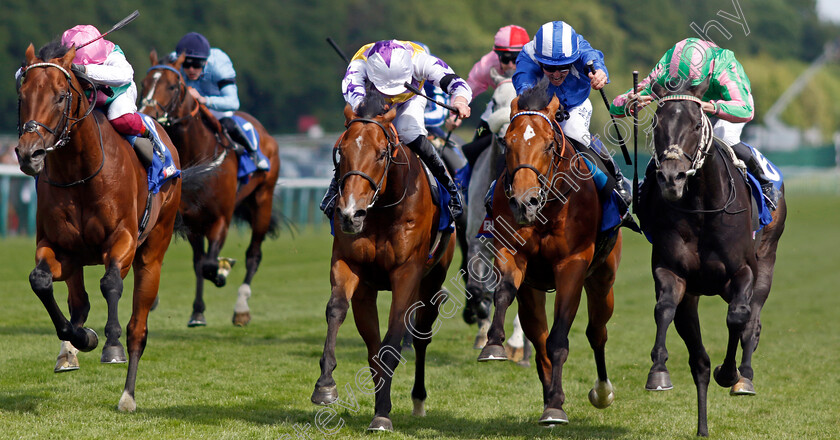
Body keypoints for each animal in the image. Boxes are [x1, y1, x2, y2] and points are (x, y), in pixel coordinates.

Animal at [13, 43, 184, 410]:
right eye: (22, 94)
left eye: (61, 96)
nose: (29, 153)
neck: (79, 174)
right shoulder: (58, 248)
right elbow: (40, 281)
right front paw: (82, 338)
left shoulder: (123, 241)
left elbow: (110, 283)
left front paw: (111, 345)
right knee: (79, 302)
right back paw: (69, 351)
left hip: (153, 252)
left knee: (138, 328)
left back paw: (127, 395)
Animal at [139, 50, 280, 326]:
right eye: (144, 82)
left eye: (172, 86)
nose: (146, 112)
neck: (201, 155)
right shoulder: (192, 220)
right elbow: (199, 263)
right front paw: (197, 311)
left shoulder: (221, 219)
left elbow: (209, 264)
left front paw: (222, 272)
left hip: (263, 200)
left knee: (253, 255)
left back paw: (241, 308)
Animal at [310, 90, 456, 434]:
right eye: (340, 153)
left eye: (380, 154)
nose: (350, 214)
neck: (383, 209)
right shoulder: (352, 268)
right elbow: (340, 313)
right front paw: (325, 386)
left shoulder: (407, 274)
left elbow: (392, 340)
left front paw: (382, 416)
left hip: (433, 280)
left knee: (421, 337)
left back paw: (418, 401)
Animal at [476, 79, 620, 426]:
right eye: (509, 142)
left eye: (548, 145)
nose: (524, 202)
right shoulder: (510, 251)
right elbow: (503, 293)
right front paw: (494, 344)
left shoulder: (573, 265)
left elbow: (559, 339)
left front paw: (556, 406)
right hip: (533, 291)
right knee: (538, 338)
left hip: (603, 278)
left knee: (597, 331)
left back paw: (602, 392)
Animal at [636, 80, 788, 436]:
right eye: (656, 123)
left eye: (695, 124)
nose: (672, 177)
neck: (701, 208)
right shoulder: (672, 272)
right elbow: (664, 308)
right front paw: (658, 371)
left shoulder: (742, 272)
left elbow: (738, 318)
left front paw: (730, 373)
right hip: (693, 297)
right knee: (699, 361)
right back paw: (703, 427)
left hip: (768, 259)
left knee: (752, 321)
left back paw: (744, 378)